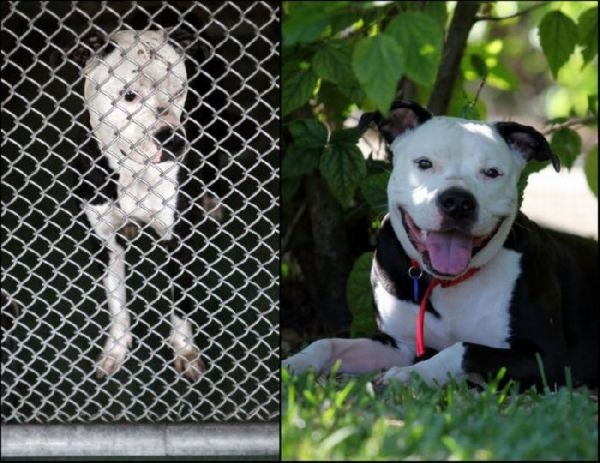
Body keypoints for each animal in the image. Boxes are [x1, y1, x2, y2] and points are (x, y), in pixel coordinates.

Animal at [71, 29, 209, 380]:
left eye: (179, 90)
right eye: (129, 95)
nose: (172, 138)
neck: (135, 173)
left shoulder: (178, 242)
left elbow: (181, 302)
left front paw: (184, 348)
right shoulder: (105, 244)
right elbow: (116, 301)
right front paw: (117, 347)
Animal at [284, 101, 596, 392]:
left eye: (492, 172)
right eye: (424, 163)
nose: (457, 201)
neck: (444, 283)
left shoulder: (549, 360)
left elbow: (463, 349)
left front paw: (410, 375)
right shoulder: (397, 344)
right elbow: (329, 343)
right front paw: (295, 363)